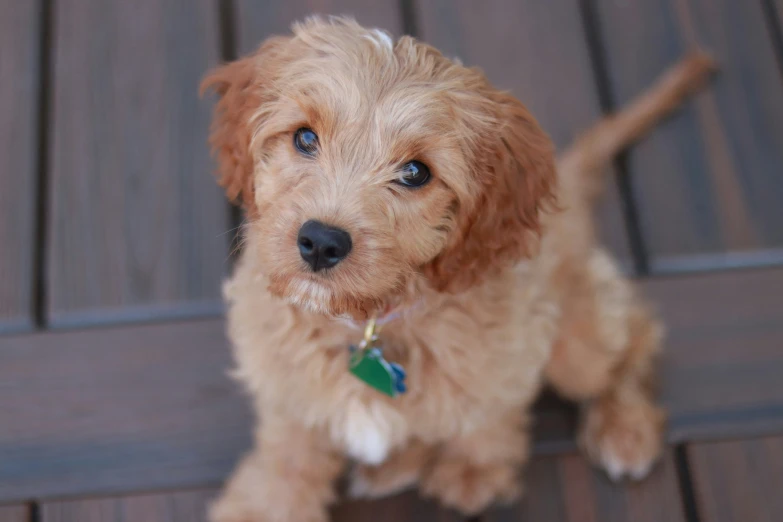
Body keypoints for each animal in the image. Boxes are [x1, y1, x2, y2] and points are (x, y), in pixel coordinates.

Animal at [202, 16, 716, 520]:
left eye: (415, 173)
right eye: (305, 137)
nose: (321, 242)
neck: (367, 323)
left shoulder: (510, 350)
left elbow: (490, 416)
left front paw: (475, 471)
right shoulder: (284, 388)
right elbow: (289, 455)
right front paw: (266, 505)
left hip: (578, 344)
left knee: (635, 332)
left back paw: (625, 427)